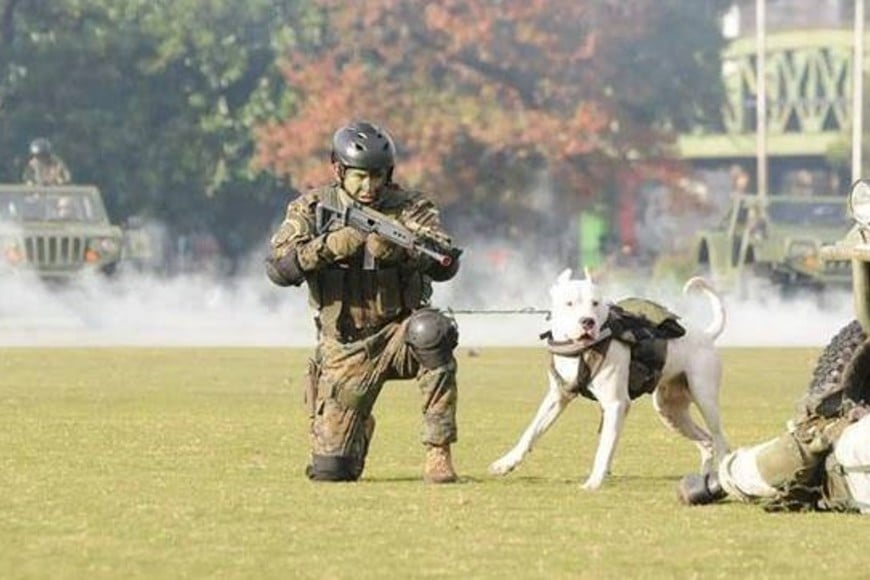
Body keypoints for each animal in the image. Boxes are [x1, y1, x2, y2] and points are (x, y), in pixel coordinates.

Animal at [490, 268, 728, 490]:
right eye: (569, 303)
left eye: (595, 303)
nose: (587, 321)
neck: (581, 350)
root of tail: (707, 335)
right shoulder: (558, 396)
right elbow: (530, 432)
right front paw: (506, 463)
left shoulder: (615, 404)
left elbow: (604, 448)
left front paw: (594, 482)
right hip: (670, 410)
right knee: (706, 442)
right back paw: (703, 479)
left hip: (705, 399)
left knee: (720, 441)